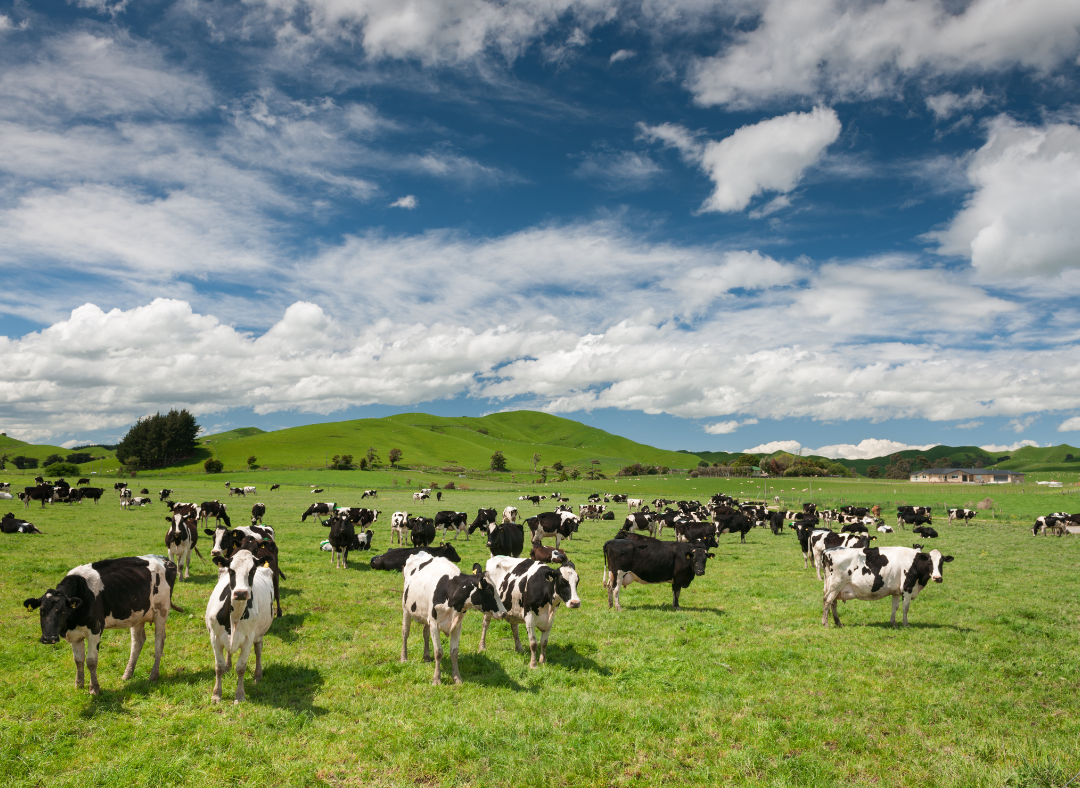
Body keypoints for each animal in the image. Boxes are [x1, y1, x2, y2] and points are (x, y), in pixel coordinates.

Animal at [23, 555, 180, 694]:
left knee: (159, 641)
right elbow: (78, 660)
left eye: (62, 611)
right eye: (41, 611)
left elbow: (91, 661)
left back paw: (153, 675)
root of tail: (164, 559)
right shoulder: (75, 635)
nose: (49, 638)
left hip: (161, 610)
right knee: (137, 642)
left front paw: (94, 688)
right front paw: (79, 684)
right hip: (138, 615)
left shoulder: (95, 630)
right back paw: (127, 674)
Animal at [206, 549, 274, 702]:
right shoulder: (215, 637)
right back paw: (228, 666)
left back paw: (258, 674)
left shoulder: (248, 639)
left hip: (259, 634)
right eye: (231, 570)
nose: (241, 593)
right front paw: (216, 694)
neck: (235, 617)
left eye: (252, 570)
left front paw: (240, 695)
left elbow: (241, 667)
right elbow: (218, 666)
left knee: (258, 650)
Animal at [400, 554, 506, 685]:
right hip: (406, 609)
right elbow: (438, 652)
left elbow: (454, 652)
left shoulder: (457, 625)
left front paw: (457, 678)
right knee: (405, 633)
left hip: (426, 615)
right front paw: (436, 679)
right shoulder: (434, 624)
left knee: (425, 633)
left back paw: (426, 656)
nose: (504, 613)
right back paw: (404, 658)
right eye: (490, 590)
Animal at [821, 546, 954, 627]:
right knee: (827, 601)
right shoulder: (907, 588)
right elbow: (905, 607)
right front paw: (906, 624)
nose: (937, 578)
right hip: (835, 585)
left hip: (833, 587)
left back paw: (838, 623)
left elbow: (895, 607)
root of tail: (828, 550)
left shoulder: (896, 591)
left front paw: (893, 623)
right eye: (929, 562)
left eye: (941, 562)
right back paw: (825, 623)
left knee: (833, 603)